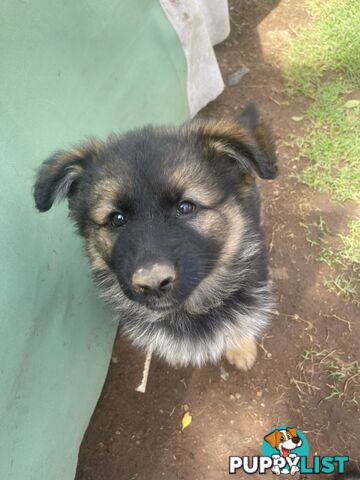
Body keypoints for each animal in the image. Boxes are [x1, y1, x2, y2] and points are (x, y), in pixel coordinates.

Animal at [34, 104, 278, 368]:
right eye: (117, 219)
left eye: (186, 207)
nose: (152, 284)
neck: (192, 309)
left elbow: (241, 323)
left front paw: (241, 349)